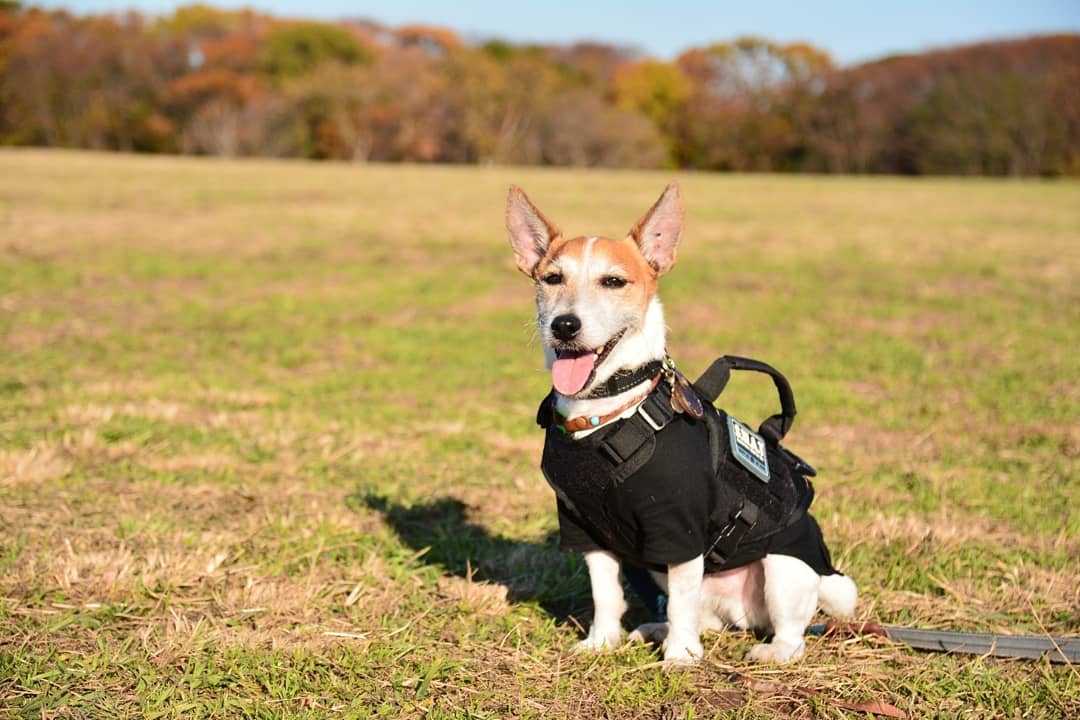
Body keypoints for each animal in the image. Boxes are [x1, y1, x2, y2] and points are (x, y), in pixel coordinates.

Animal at [507, 184, 859, 664]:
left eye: (613, 282)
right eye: (552, 278)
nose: (565, 325)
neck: (607, 411)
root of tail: (742, 615)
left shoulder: (678, 528)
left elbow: (679, 600)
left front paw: (679, 657)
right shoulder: (585, 528)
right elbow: (606, 594)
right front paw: (602, 641)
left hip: (785, 570)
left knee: (789, 631)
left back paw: (767, 651)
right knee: (703, 617)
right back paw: (656, 629)